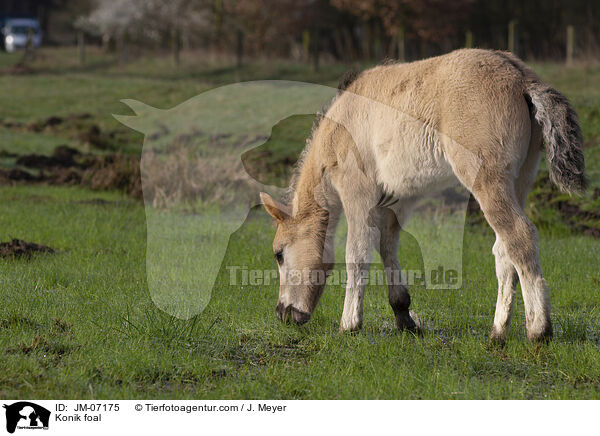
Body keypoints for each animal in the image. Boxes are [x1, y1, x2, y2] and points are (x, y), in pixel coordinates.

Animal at [258, 48, 584, 344]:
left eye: (278, 254)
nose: (283, 313)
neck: (339, 126)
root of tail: (521, 79)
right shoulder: (396, 200)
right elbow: (387, 247)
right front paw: (404, 317)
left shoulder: (357, 192)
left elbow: (357, 253)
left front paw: (349, 324)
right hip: (521, 179)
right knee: (504, 249)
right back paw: (498, 333)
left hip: (488, 182)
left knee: (519, 236)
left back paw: (539, 330)